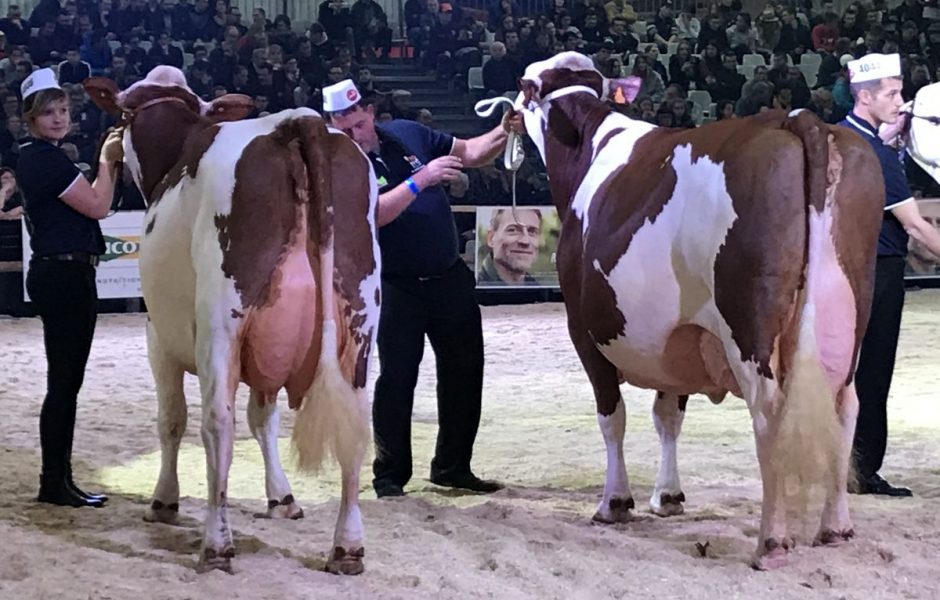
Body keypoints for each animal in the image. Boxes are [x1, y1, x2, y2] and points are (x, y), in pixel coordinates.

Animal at [82, 67, 380, 576]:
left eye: (122, 115)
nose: (111, 146)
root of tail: (296, 121)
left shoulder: (158, 338)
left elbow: (173, 419)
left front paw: (163, 501)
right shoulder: (267, 347)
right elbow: (264, 418)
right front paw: (282, 498)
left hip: (221, 319)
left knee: (216, 421)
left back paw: (217, 543)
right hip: (359, 319)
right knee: (356, 423)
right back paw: (348, 547)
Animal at [510, 52, 884, 568]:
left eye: (526, 87)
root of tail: (796, 118)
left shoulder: (584, 332)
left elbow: (612, 417)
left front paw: (614, 502)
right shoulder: (677, 337)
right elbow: (668, 414)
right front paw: (668, 496)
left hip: (748, 328)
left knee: (769, 414)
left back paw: (772, 540)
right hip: (848, 321)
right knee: (845, 407)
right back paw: (836, 526)